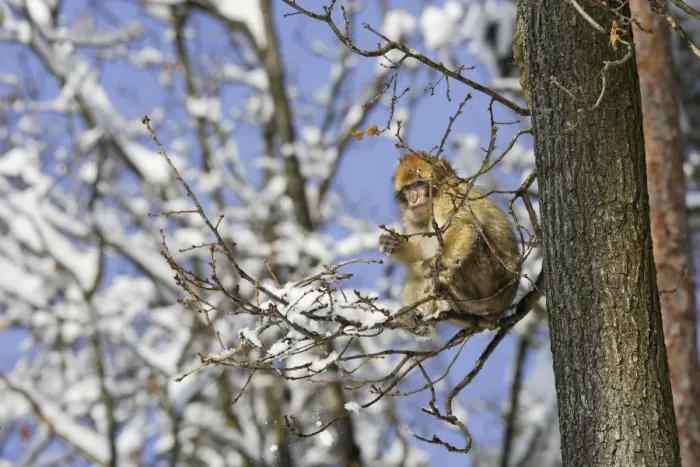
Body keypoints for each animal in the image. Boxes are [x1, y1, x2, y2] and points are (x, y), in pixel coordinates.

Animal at [379, 152, 521, 335]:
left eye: (418, 184)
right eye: (407, 189)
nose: (414, 199)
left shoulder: (449, 197)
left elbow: (464, 226)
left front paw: (431, 265)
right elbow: (417, 254)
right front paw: (393, 243)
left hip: (491, 281)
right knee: (416, 274)